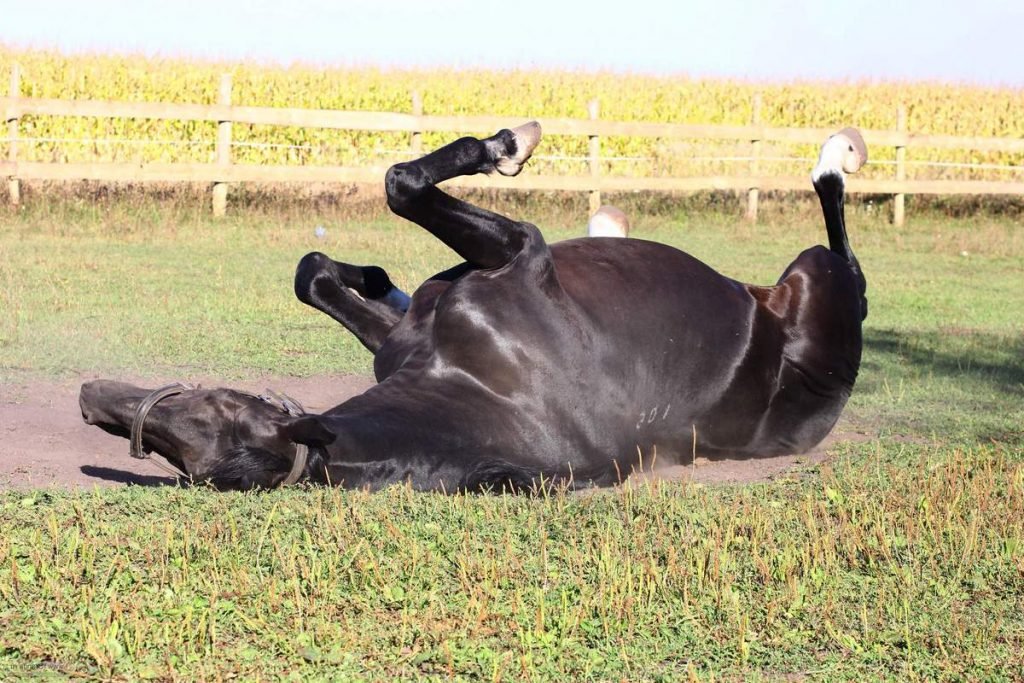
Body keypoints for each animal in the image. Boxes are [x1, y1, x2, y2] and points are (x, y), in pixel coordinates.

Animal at [79, 120, 868, 489]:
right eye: (179, 457)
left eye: (216, 404)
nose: (92, 399)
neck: (478, 379)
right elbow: (321, 272)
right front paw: (376, 275)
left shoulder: (519, 252)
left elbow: (399, 185)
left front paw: (508, 146)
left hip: (816, 276)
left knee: (845, 247)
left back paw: (837, 154)